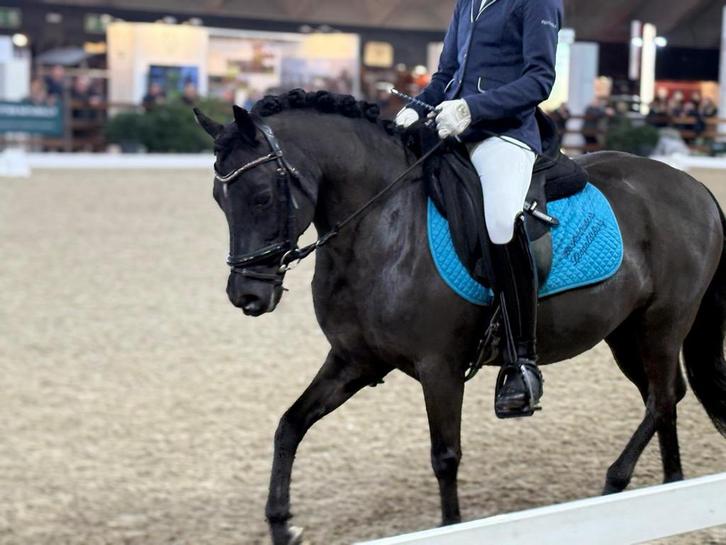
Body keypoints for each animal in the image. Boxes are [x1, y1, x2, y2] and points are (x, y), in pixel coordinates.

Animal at [194, 90, 726, 545]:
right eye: (219, 200)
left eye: (262, 196)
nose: (247, 295)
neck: (382, 227)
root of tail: (693, 185)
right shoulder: (354, 361)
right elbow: (289, 425)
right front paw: (282, 524)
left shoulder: (440, 368)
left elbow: (445, 457)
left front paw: (450, 526)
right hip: (625, 333)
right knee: (667, 398)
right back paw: (670, 485)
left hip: (662, 324)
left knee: (661, 399)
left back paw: (615, 484)